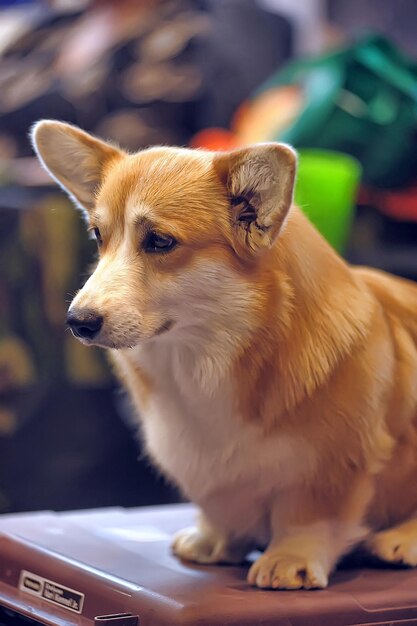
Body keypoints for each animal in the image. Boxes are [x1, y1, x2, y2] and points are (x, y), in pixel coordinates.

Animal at [30, 119, 416, 588]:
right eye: (98, 236)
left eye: (159, 241)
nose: (78, 322)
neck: (202, 357)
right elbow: (222, 513)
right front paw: (213, 542)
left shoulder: (334, 463)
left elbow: (309, 520)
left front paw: (289, 561)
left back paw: (401, 539)